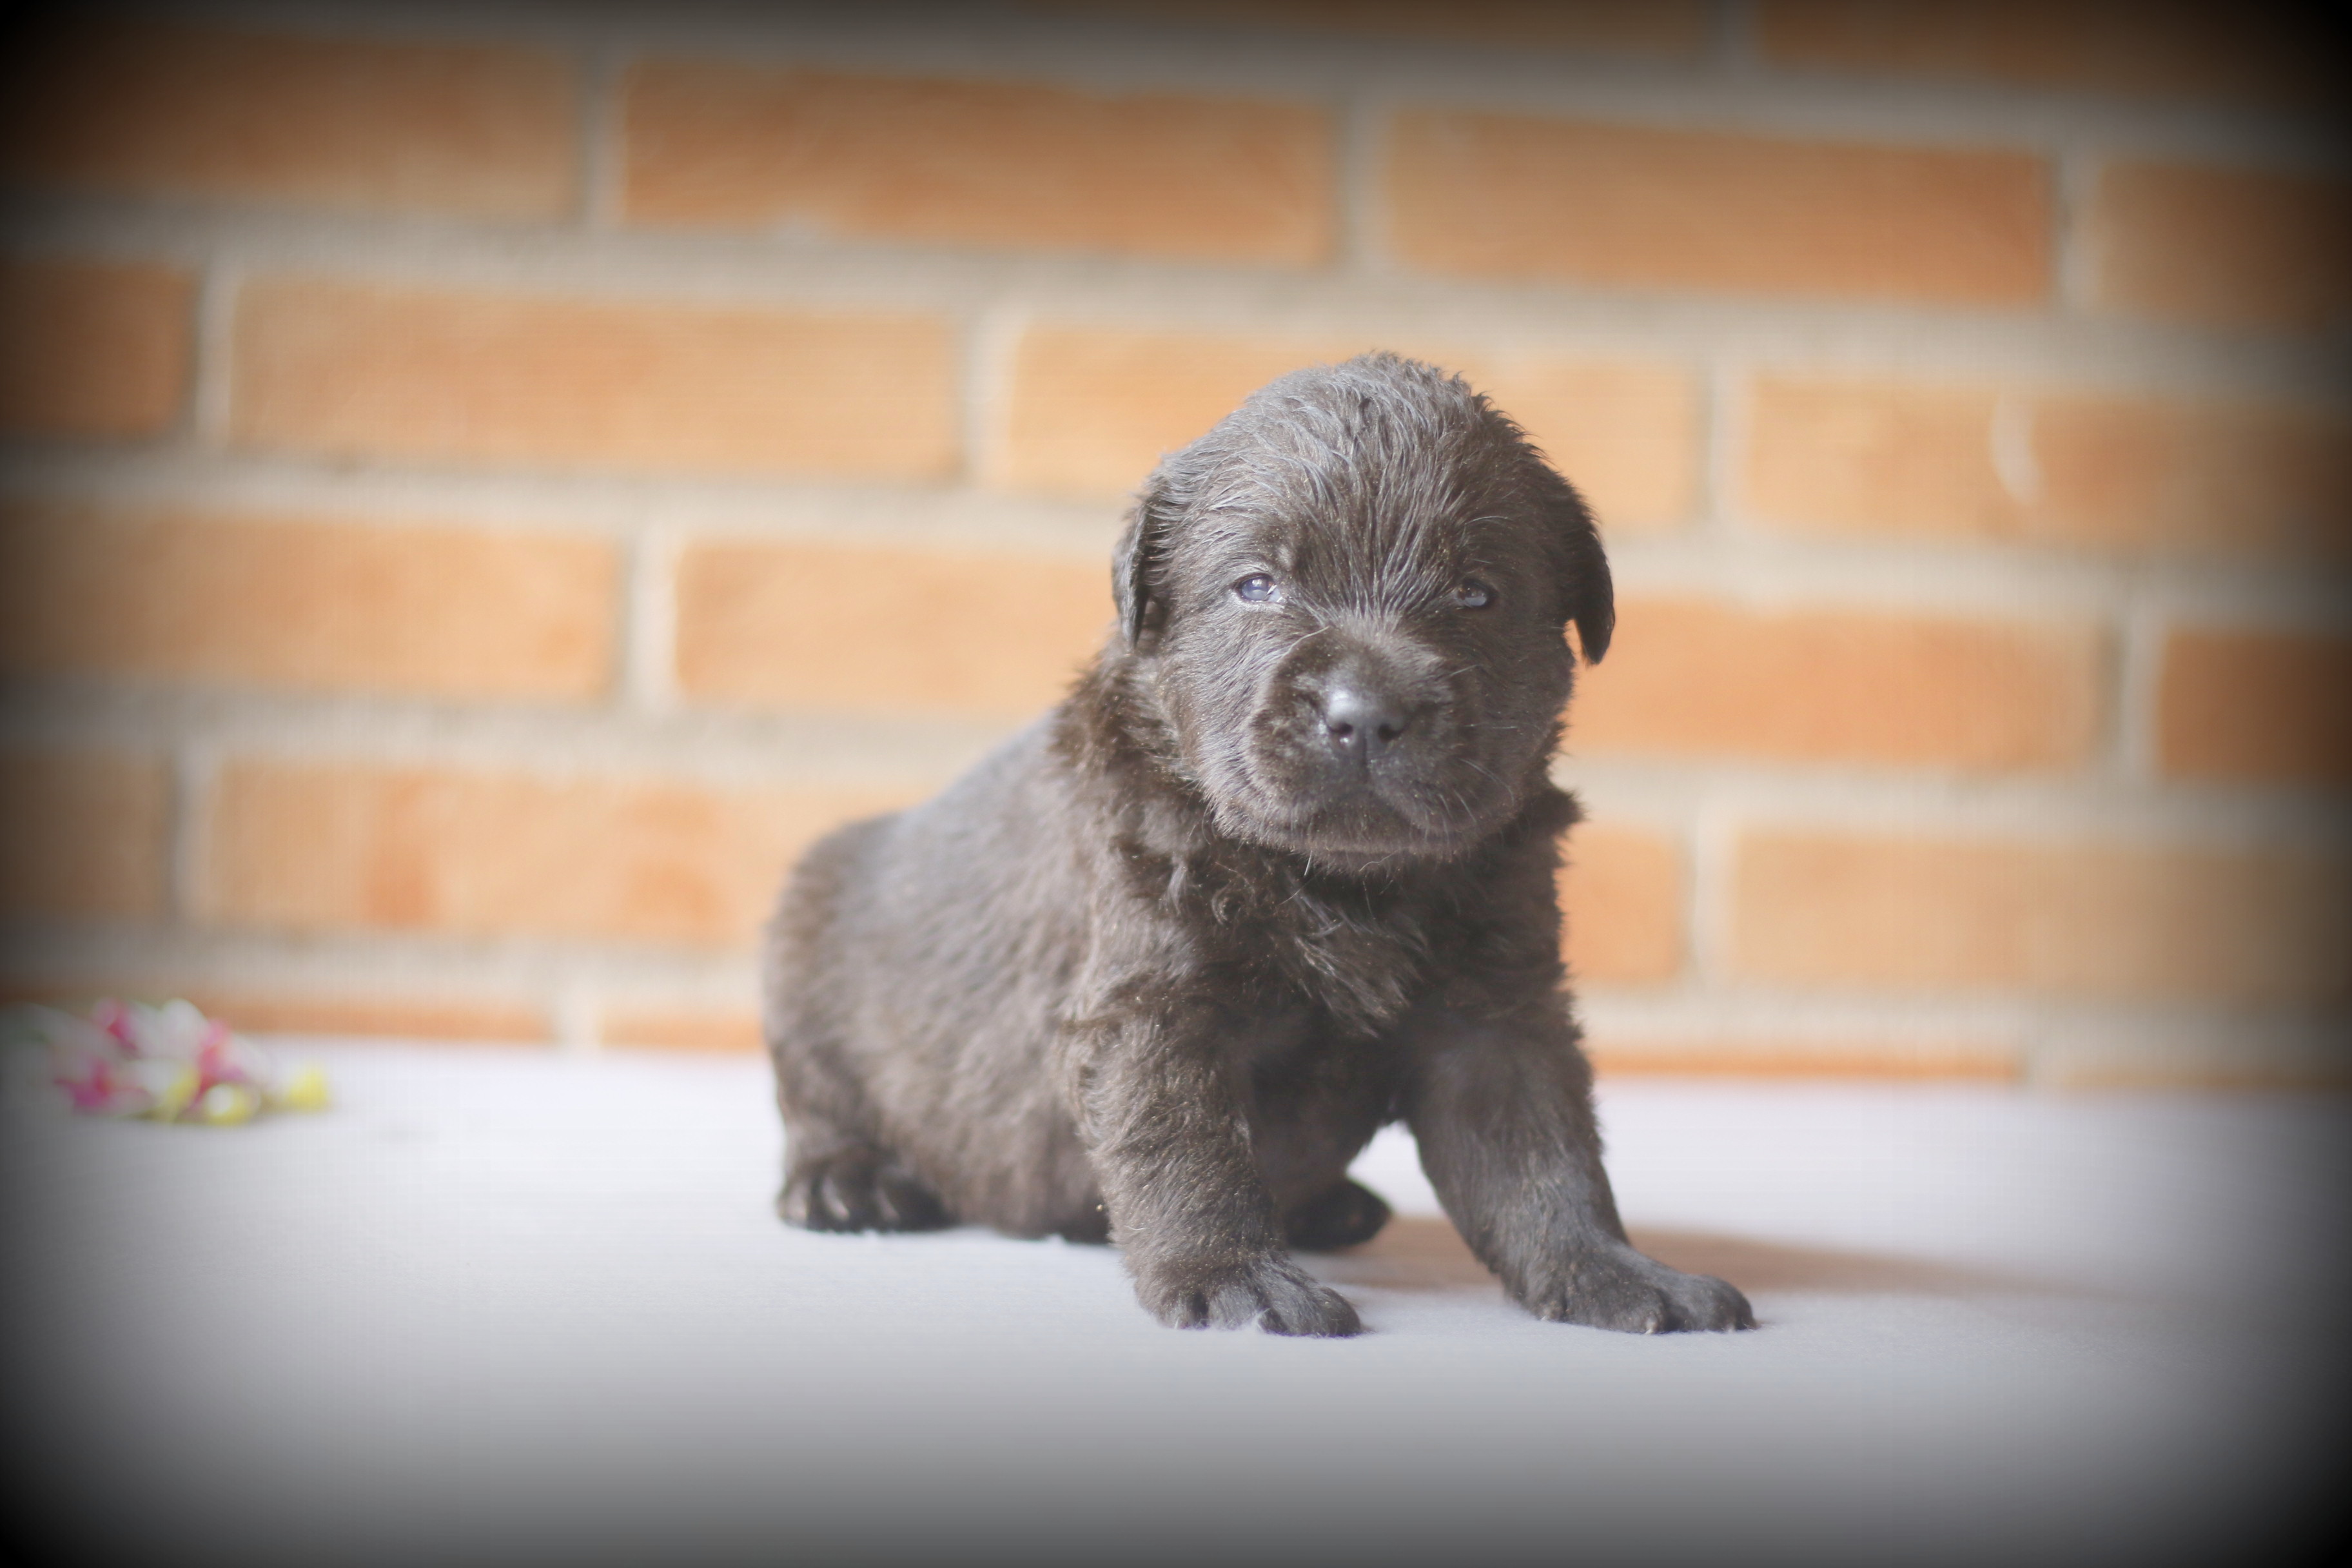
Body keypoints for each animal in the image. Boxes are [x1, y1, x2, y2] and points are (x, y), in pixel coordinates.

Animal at [761, 352, 1759, 1335]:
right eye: (1257, 586)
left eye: (1476, 593)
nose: (1365, 715)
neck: (1344, 882)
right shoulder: (1154, 1003)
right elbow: (1187, 1150)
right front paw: (1234, 1279)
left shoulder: (1496, 1011)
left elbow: (1544, 1156)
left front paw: (1616, 1272)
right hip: (808, 945)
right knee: (817, 1101)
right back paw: (848, 1184)